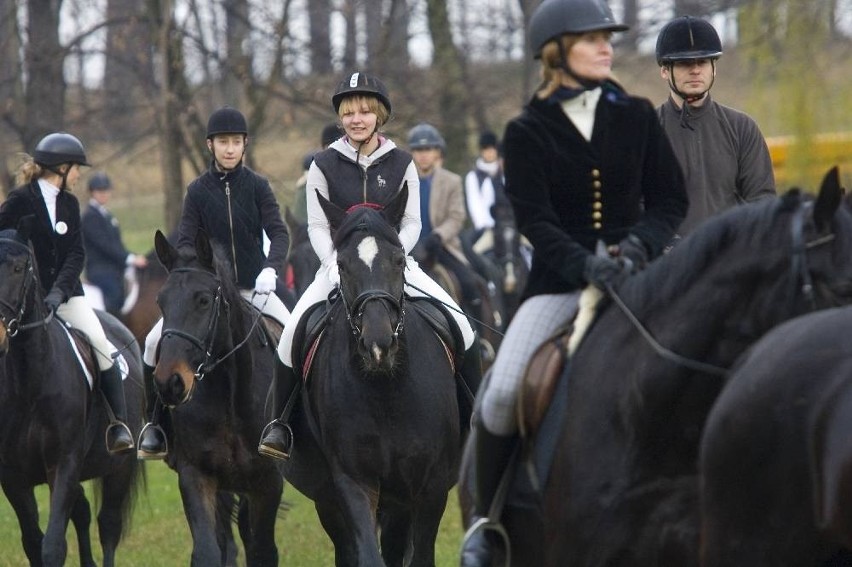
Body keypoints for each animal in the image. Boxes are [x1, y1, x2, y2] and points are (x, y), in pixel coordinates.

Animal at [0, 227, 143, 567]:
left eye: (18, 268)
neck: (29, 381)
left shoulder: (63, 463)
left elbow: (53, 546)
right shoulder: (12, 475)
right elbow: (33, 542)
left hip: (119, 467)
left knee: (108, 525)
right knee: (82, 512)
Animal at [152, 230, 282, 567]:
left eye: (203, 300)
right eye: (160, 301)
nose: (169, 383)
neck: (230, 397)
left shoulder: (267, 482)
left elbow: (262, 551)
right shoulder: (195, 475)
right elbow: (207, 550)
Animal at [282, 187, 462, 567]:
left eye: (399, 260)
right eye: (341, 265)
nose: (378, 345)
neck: (386, 391)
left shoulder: (431, 485)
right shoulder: (354, 481)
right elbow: (366, 553)